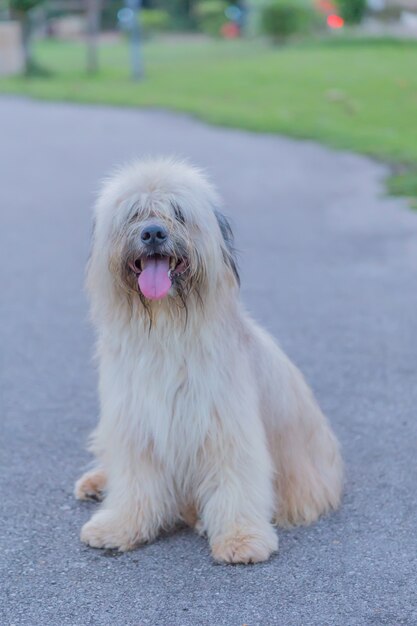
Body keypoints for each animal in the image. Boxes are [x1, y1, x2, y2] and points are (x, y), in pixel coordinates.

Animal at [75, 158, 342, 564]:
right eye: (135, 213)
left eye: (178, 214)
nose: (153, 233)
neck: (166, 329)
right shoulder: (134, 425)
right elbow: (134, 483)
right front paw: (119, 525)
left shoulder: (226, 427)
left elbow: (237, 482)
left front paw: (241, 537)